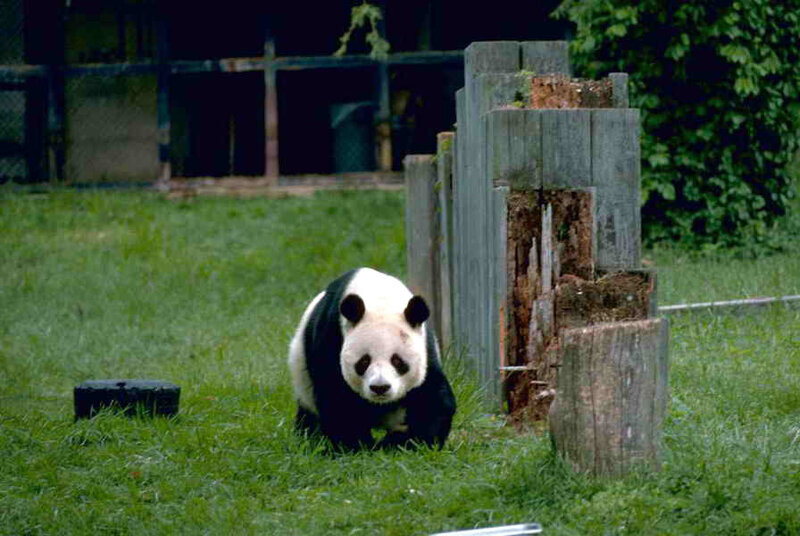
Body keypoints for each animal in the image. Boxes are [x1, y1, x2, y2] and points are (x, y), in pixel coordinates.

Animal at [288, 267, 456, 451]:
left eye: (398, 361)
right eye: (364, 361)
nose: (380, 387)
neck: (379, 300)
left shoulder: (426, 349)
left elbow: (432, 398)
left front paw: (410, 442)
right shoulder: (330, 337)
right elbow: (337, 400)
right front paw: (355, 446)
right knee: (309, 415)